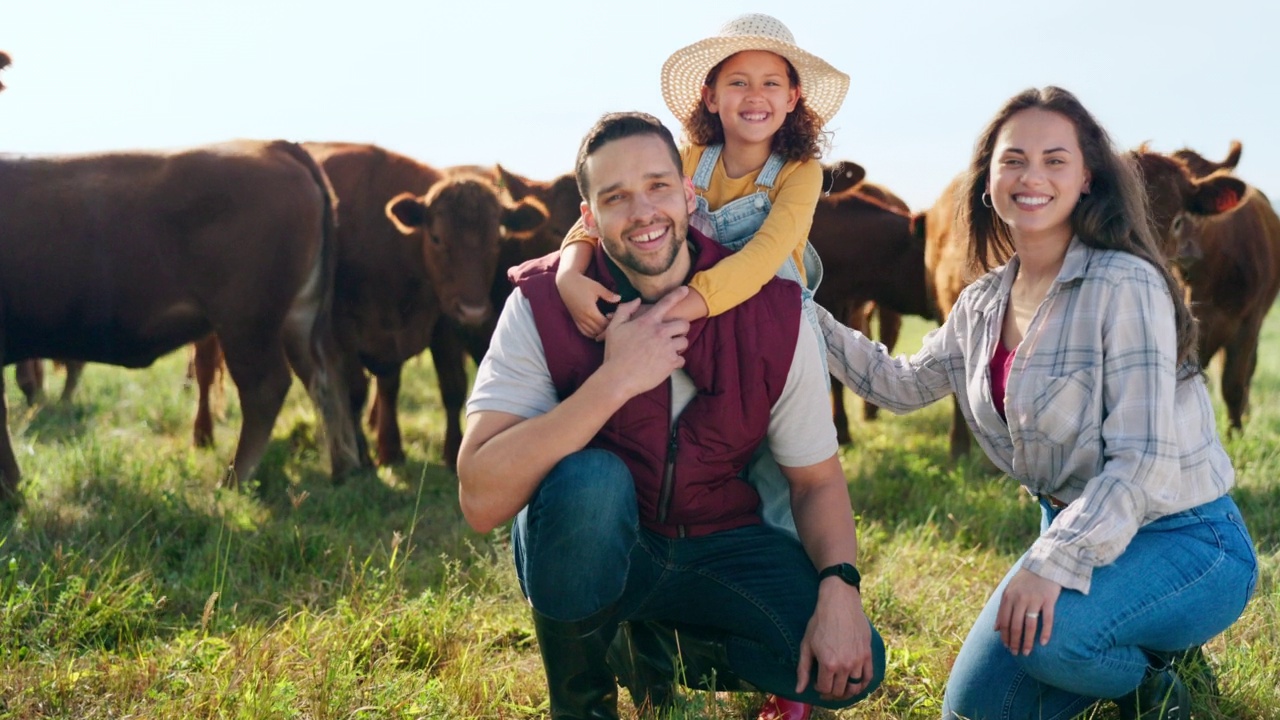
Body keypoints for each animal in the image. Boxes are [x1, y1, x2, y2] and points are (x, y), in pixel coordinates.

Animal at [0, 139, 363, 499]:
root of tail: (271, 146)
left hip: (246, 326)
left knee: (267, 388)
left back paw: (232, 481)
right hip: (298, 321)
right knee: (325, 380)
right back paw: (343, 468)